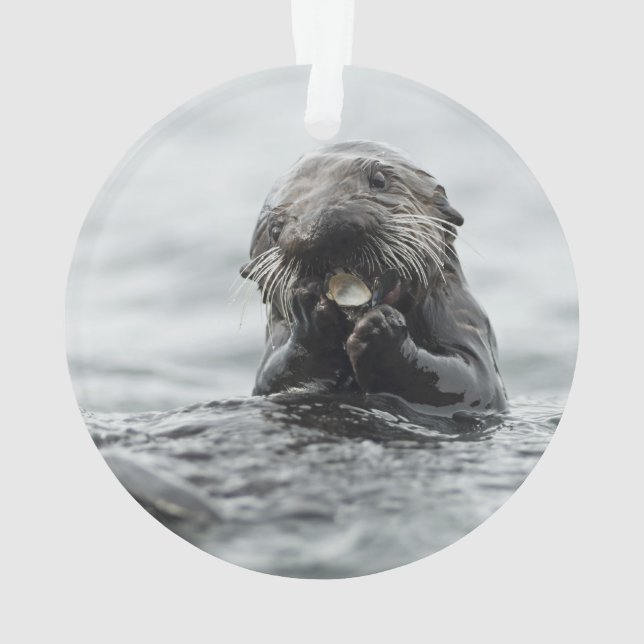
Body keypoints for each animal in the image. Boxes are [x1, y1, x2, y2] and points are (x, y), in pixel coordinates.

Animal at [240, 141, 506, 410]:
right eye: (275, 229)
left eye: (379, 180)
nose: (321, 227)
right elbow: (274, 378)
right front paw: (310, 313)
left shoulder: (463, 318)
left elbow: (472, 381)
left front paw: (381, 327)